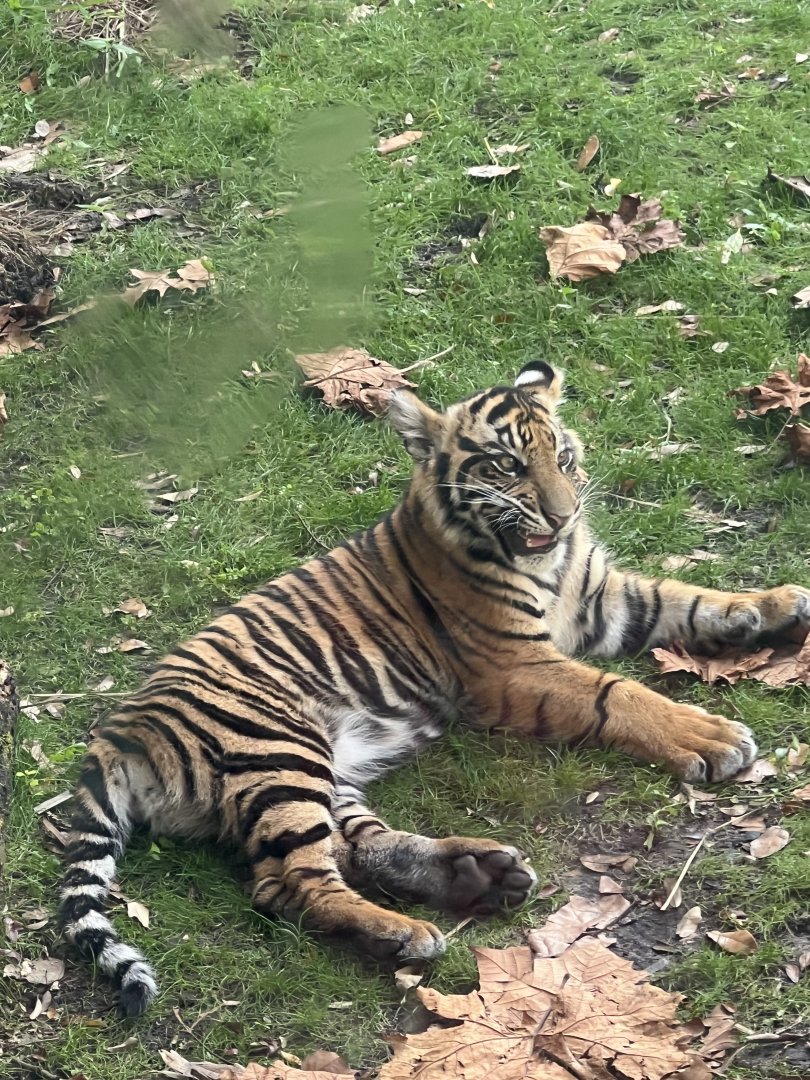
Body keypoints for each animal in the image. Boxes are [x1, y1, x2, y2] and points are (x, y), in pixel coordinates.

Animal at [57, 360, 810, 1017]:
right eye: (507, 467)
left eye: (563, 460)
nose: (563, 517)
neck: (551, 563)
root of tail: (117, 734)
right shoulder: (514, 663)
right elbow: (618, 693)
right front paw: (711, 736)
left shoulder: (605, 597)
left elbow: (689, 597)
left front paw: (778, 605)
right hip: (277, 745)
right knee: (285, 883)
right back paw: (405, 932)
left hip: (320, 770)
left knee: (352, 845)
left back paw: (477, 874)